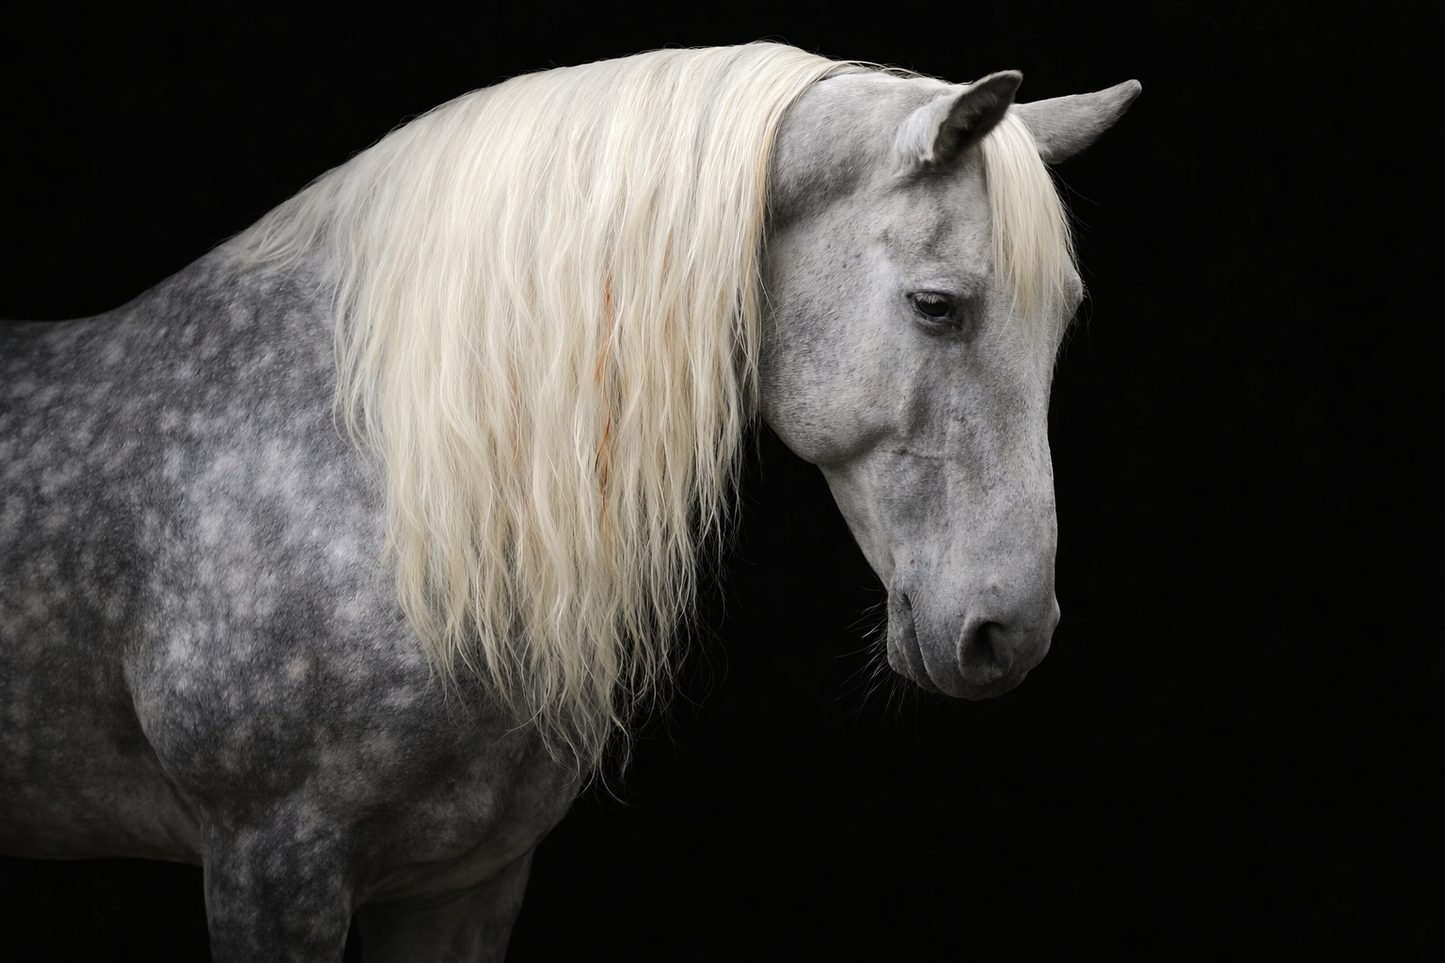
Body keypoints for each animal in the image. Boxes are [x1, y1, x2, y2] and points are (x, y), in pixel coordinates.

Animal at [0, 44, 1138, 961]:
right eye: (936, 306)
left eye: (1063, 318)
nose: (1010, 633)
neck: (389, 486)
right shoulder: (270, 865)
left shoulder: (466, 881)